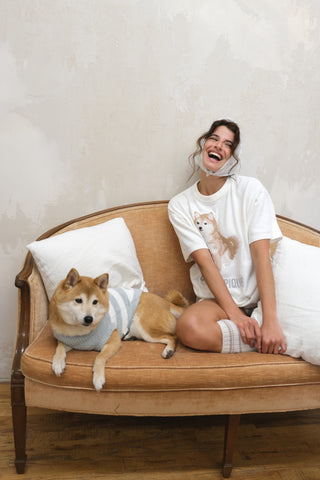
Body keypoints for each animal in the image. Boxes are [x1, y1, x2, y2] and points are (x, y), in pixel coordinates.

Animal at [49, 268, 189, 392]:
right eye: (78, 300)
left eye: (95, 302)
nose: (89, 318)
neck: (79, 331)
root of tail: (165, 302)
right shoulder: (69, 340)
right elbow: (59, 348)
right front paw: (58, 362)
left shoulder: (113, 340)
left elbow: (99, 357)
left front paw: (98, 378)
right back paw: (130, 337)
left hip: (144, 328)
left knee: (173, 337)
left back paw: (168, 350)